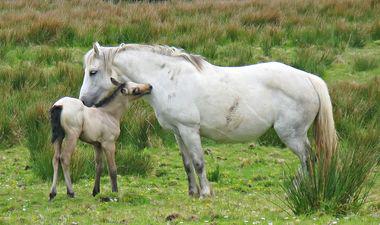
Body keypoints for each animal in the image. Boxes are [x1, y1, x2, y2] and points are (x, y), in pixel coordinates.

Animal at [78, 41, 336, 197]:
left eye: (93, 72)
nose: (83, 101)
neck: (167, 78)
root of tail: (309, 78)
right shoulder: (177, 132)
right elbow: (187, 163)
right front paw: (192, 192)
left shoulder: (190, 130)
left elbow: (199, 162)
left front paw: (205, 193)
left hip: (292, 135)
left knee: (308, 159)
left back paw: (296, 189)